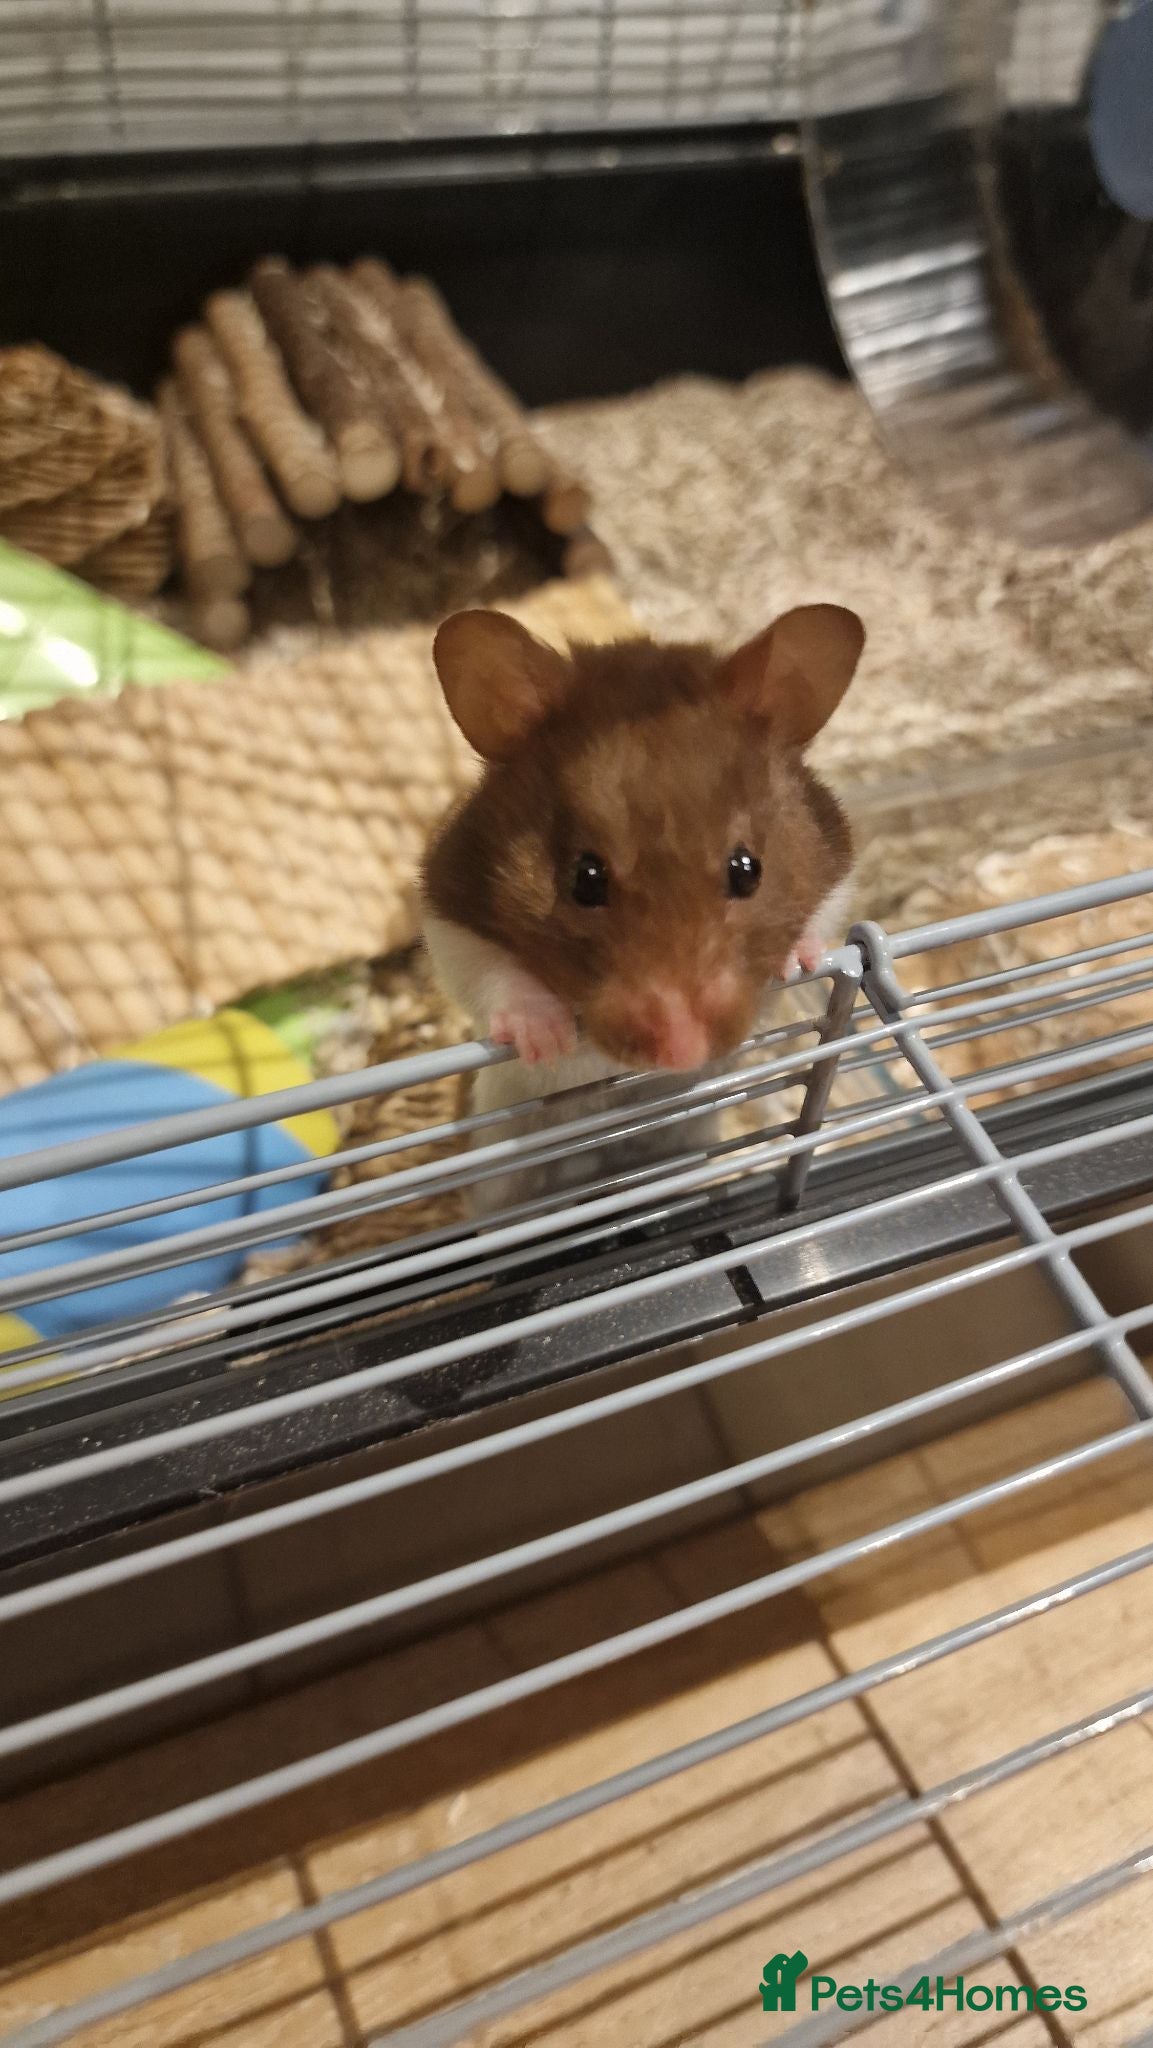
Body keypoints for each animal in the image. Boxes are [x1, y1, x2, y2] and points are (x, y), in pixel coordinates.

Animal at [422, 602, 865, 1216]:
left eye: (747, 869)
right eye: (584, 879)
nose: (682, 1053)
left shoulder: (836, 865)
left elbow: (821, 916)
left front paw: (798, 961)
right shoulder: (447, 906)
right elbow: (490, 972)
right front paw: (548, 1041)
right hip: (500, 1180)